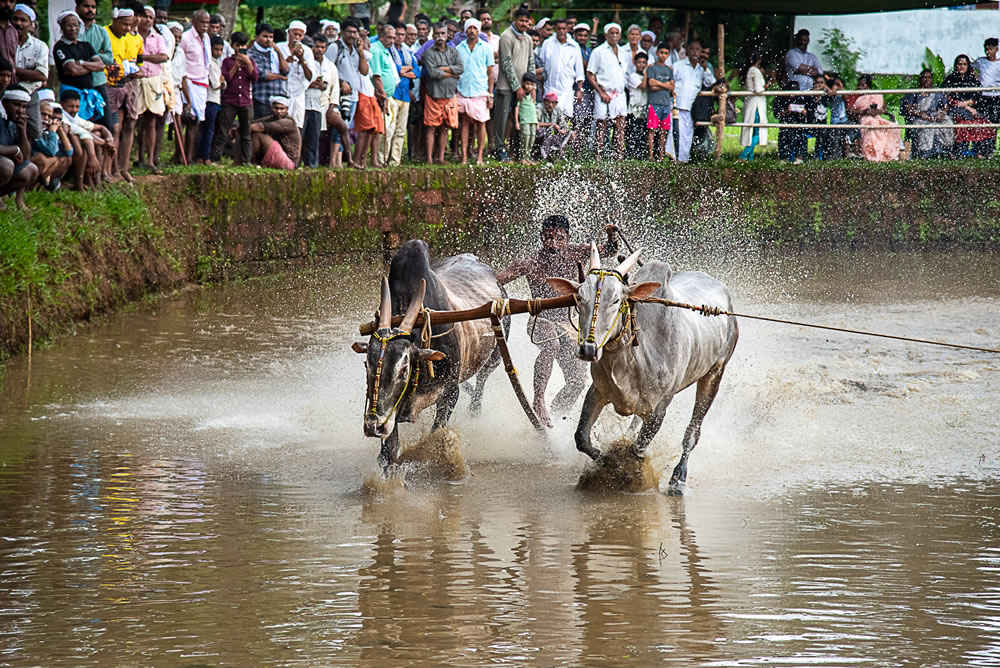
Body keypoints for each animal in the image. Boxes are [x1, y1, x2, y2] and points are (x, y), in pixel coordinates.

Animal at [552, 245, 740, 496]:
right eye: (580, 298)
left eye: (616, 300)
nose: (588, 349)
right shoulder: (597, 391)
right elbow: (582, 438)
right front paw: (604, 464)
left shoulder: (660, 406)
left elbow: (638, 449)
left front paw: (630, 475)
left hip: (715, 373)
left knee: (692, 433)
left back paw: (678, 480)